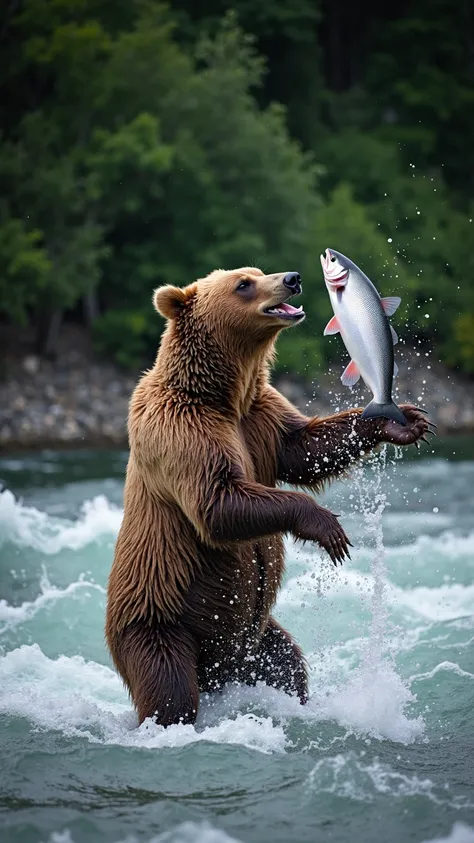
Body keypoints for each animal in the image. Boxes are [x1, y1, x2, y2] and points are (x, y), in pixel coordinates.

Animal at [105, 268, 432, 724]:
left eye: (259, 272)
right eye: (243, 283)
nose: (292, 278)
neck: (224, 395)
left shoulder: (261, 416)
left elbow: (304, 447)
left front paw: (404, 420)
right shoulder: (181, 427)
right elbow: (219, 500)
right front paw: (328, 529)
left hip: (255, 639)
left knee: (287, 665)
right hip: (159, 620)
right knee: (170, 692)